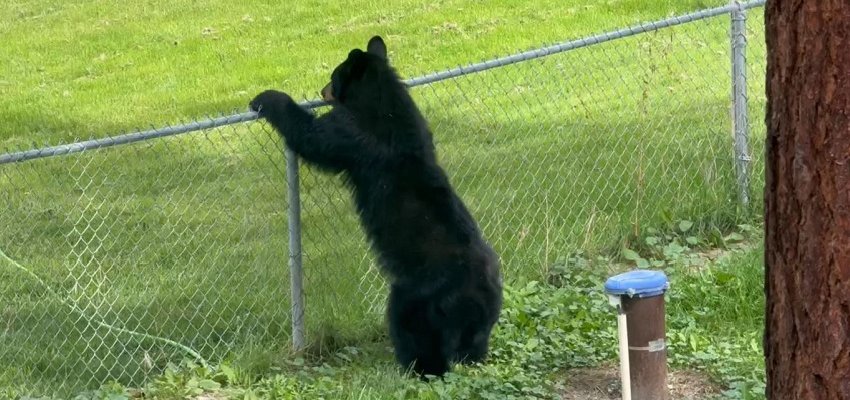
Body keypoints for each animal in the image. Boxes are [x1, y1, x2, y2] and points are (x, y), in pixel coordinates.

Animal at [252, 36, 504, 376]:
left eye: (333, 76)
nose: (322, 90)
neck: (384, 103)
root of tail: (480, 288)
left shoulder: (351, 133)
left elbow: (312, 136)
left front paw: (266, 99)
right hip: (477, 317)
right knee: (472, 347)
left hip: (418, 295)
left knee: (412, 329)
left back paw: (416, 367)